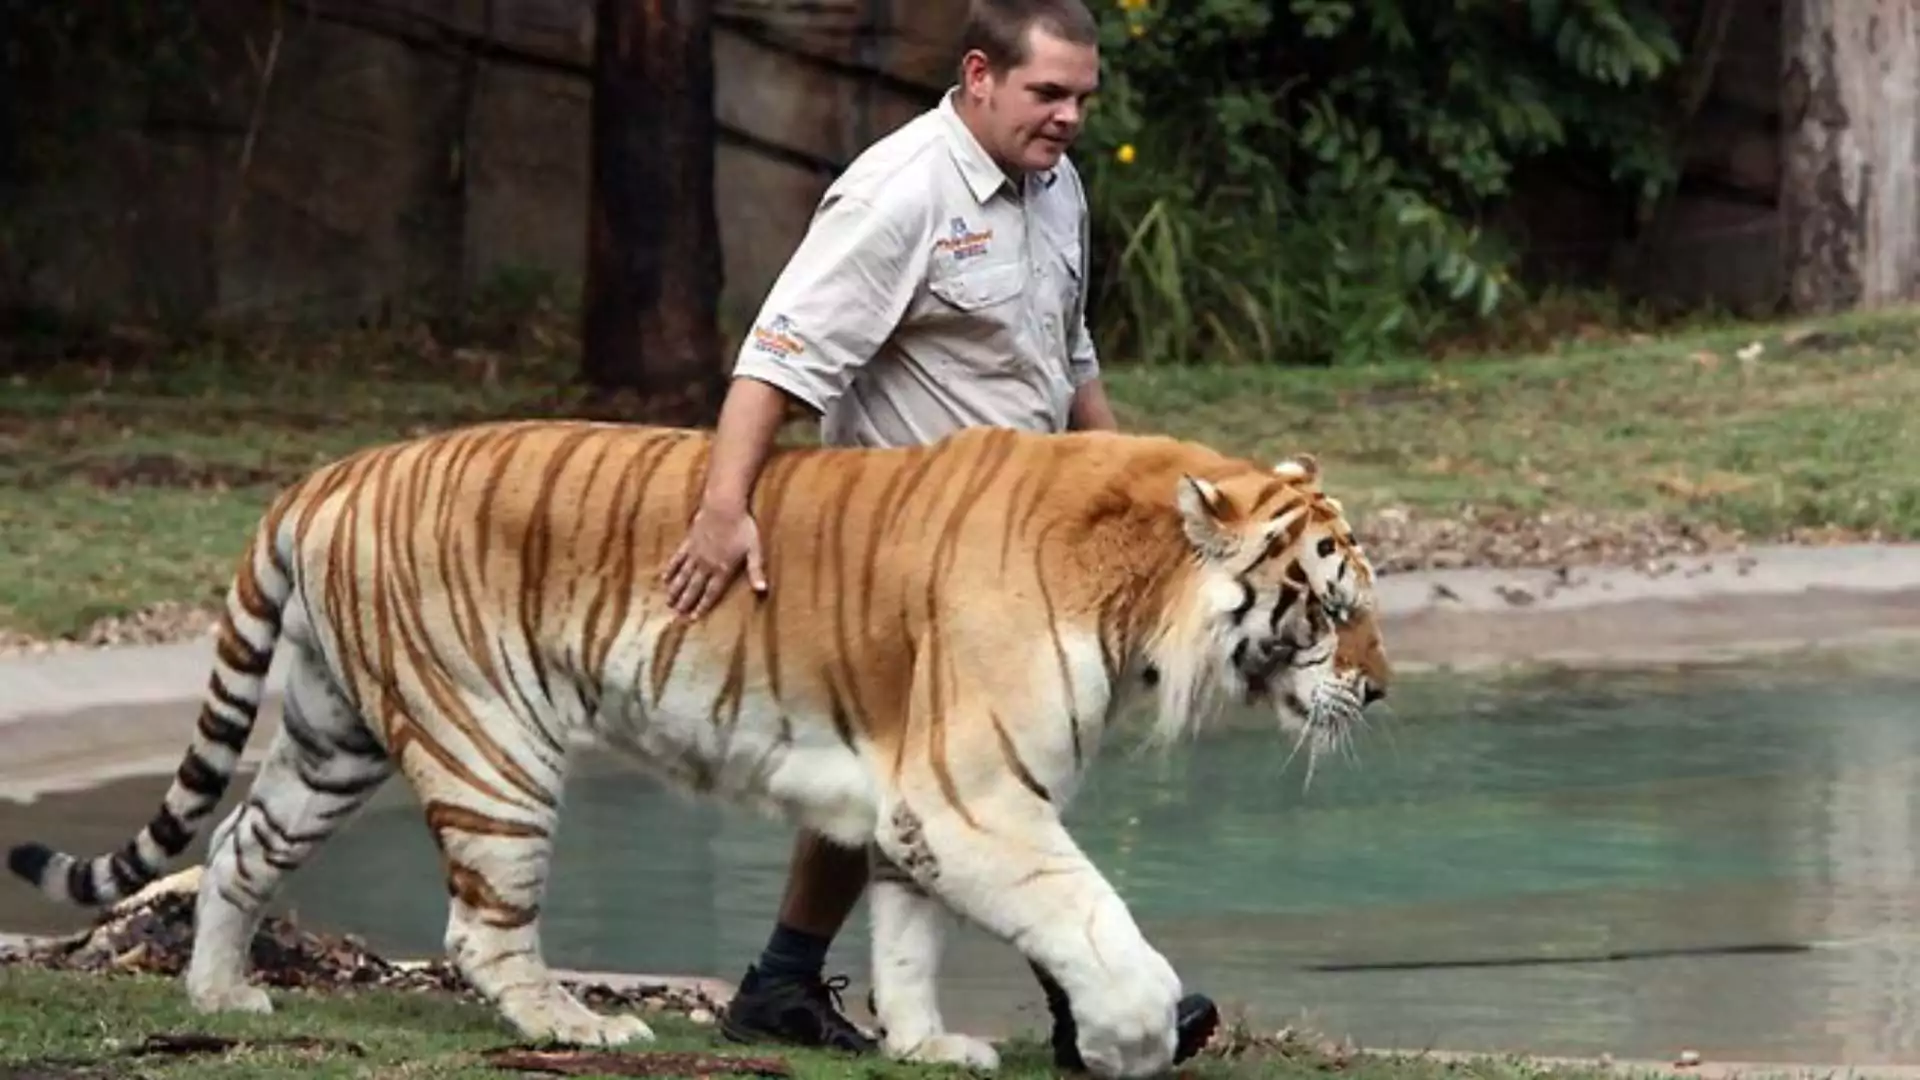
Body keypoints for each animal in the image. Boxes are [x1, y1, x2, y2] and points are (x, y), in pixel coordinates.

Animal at [3, 418, 1397, 1076]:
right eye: (1335, 606)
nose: (1382, 693)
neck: (1134, 591)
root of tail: (327, 475)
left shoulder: (923, 802)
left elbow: (908, 936)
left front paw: (923, 1042)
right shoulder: (973, 796)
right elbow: (1095, 921)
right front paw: (1135, 1036)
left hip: (329, 735)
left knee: (240, 844)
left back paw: (221, 994)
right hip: (489, 741)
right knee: (479, 929)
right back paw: (579, 1028)